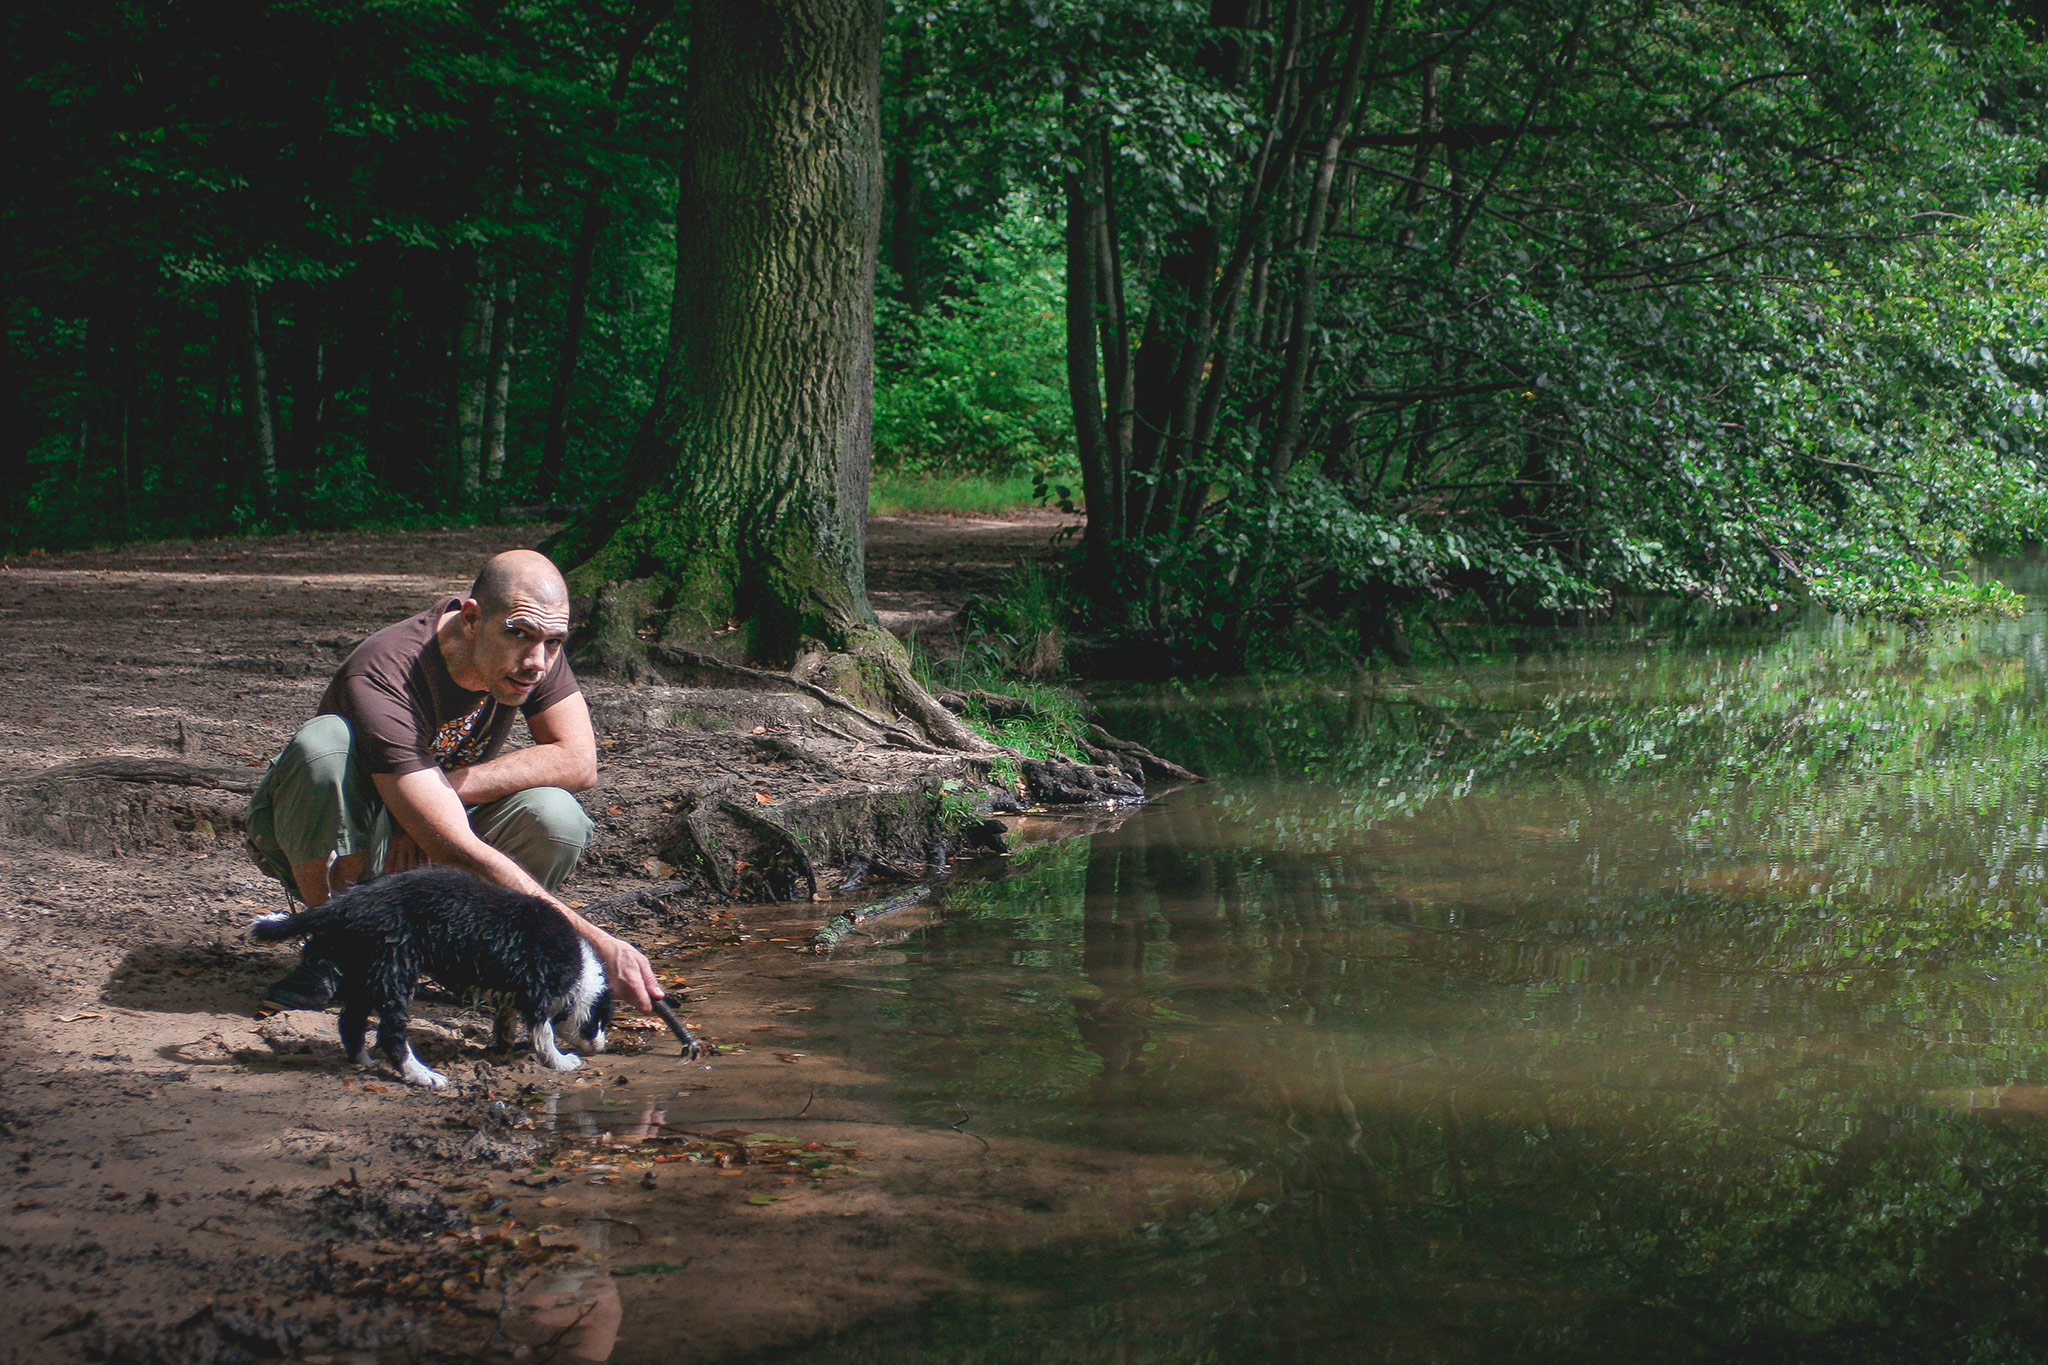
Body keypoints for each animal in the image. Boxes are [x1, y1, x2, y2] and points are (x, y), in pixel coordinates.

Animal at [246, 871, 692, 1096]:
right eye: (601, 1021)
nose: (603, 1046)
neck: (576, 968)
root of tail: (349, 902)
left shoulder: (514, 987)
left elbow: (508, 1017)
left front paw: (503, 1044)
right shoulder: (537, 985)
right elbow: (544, 1030)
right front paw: (560, 1061)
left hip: (367, 968)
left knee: (351, 1021)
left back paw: (364, 1061)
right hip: (396, 968)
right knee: (390, 1032)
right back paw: (421, 1075)